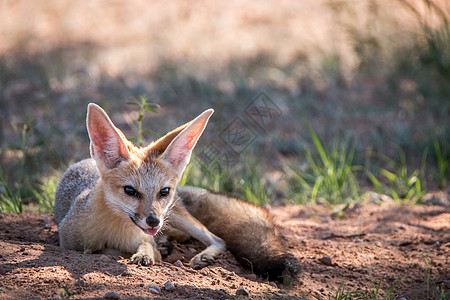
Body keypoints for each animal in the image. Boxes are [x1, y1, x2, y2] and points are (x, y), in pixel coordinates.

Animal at [54, 102, 298, 282]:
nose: (153, 221)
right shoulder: (68, 242)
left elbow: (146, 247)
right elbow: (101, 250)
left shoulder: (147, 233)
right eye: (130, 191)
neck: (117, 232)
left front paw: (145, 254)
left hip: (178, 216)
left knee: (217, 239)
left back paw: (200, 255)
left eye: (163, 191)